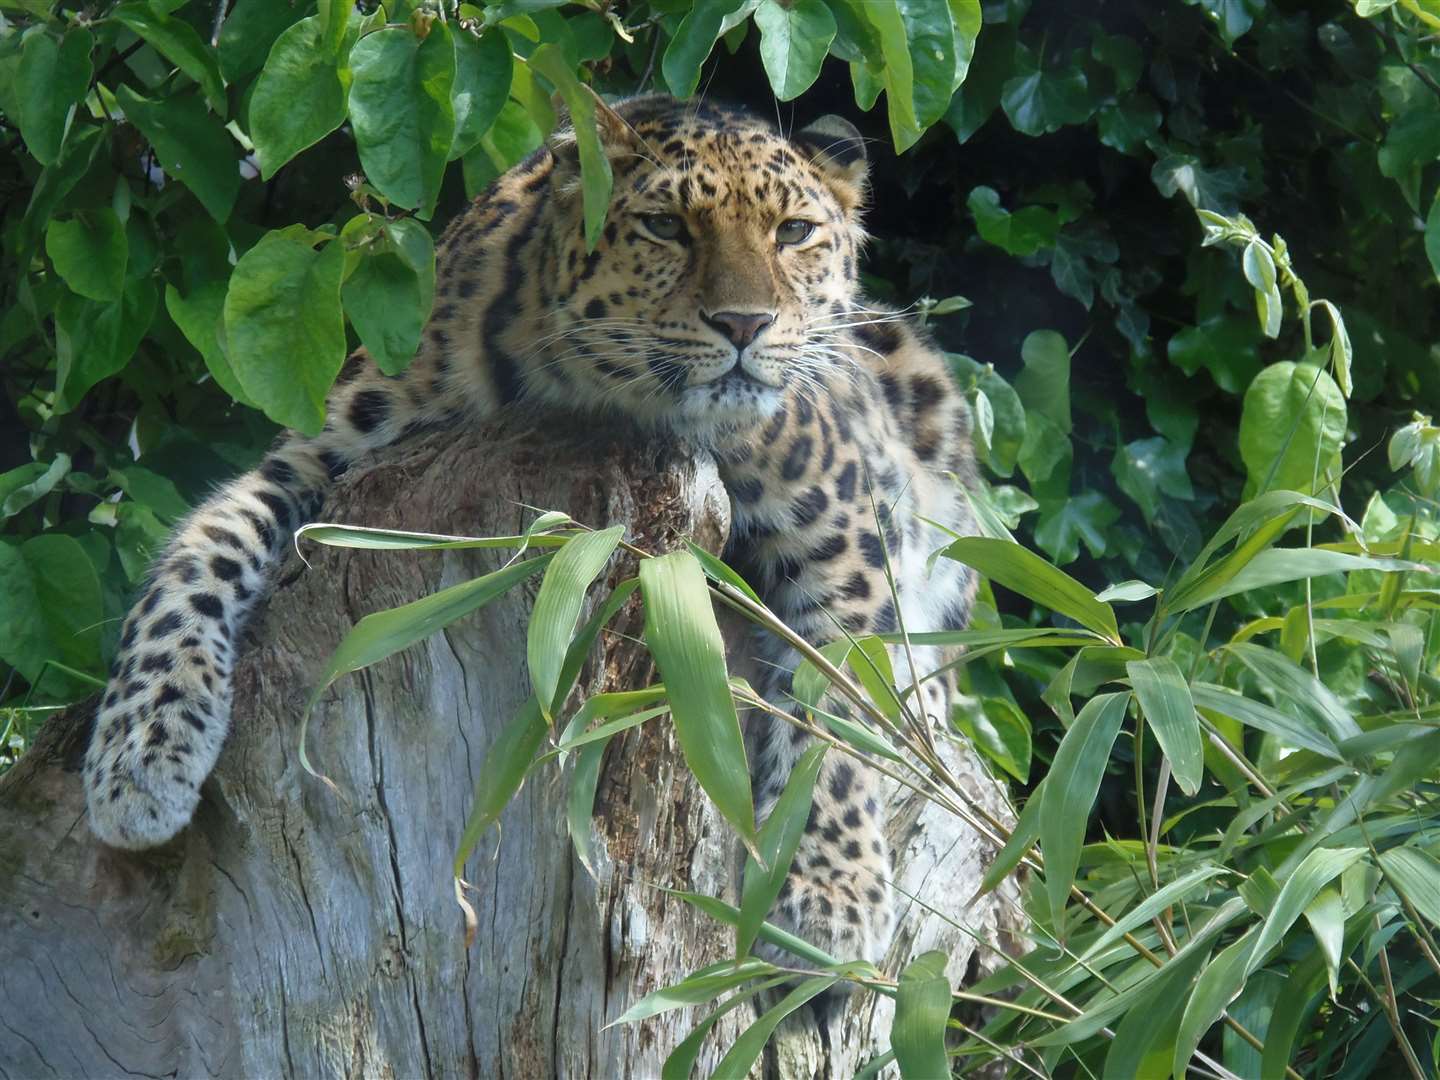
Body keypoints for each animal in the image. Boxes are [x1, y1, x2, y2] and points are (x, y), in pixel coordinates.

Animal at [81, 95, 979, 979]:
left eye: (793, 232)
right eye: (666, 227)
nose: (744, 323)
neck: (605, 398)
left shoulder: (843, 527)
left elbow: (840, 716)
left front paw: (831, 900)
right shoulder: (315, 461)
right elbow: (196, 556)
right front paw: (138, 754)